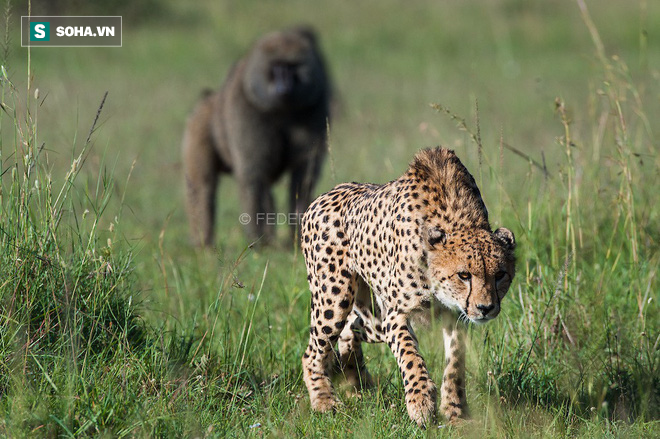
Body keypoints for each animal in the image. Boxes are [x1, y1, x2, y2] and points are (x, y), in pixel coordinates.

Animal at [300, 147, 516, 426]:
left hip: (372, 318)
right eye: (464, 275)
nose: (486, 308)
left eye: (500, 275)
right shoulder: (397, 313)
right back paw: (325, 401)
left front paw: (455, 410)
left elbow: (455, 363)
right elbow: (410, 356)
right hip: (335, 299)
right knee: (314, 351)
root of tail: (327, 193)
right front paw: (420, 401)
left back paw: (357, 384)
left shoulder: (457, 317)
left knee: (350, 329)